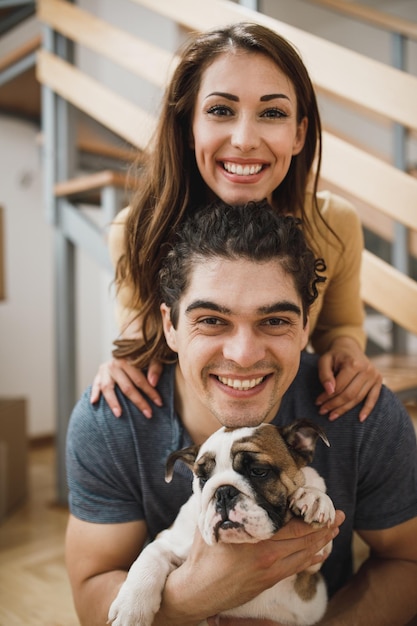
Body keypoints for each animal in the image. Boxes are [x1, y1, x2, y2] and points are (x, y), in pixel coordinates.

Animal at [107, 420, 334, 624]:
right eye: (202, 478)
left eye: (259, 471)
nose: (223, 492)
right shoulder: (168, 540)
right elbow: (148, 559)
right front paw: (131, 609)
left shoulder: (313, 562)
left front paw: (313, 497)